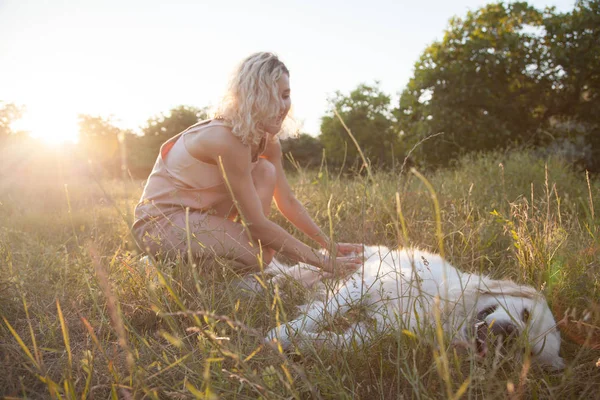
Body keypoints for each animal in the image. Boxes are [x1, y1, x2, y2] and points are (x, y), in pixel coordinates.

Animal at [264, 245, 564, 370]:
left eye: (527, 352)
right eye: (526, 314)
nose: (511, 333)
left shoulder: (374, 332)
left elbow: (337, 342)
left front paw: (293, 342)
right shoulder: (365, 285)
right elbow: (322, 314)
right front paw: (279, 333)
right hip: (345, 264)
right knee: (300, 270)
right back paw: (274, 282)